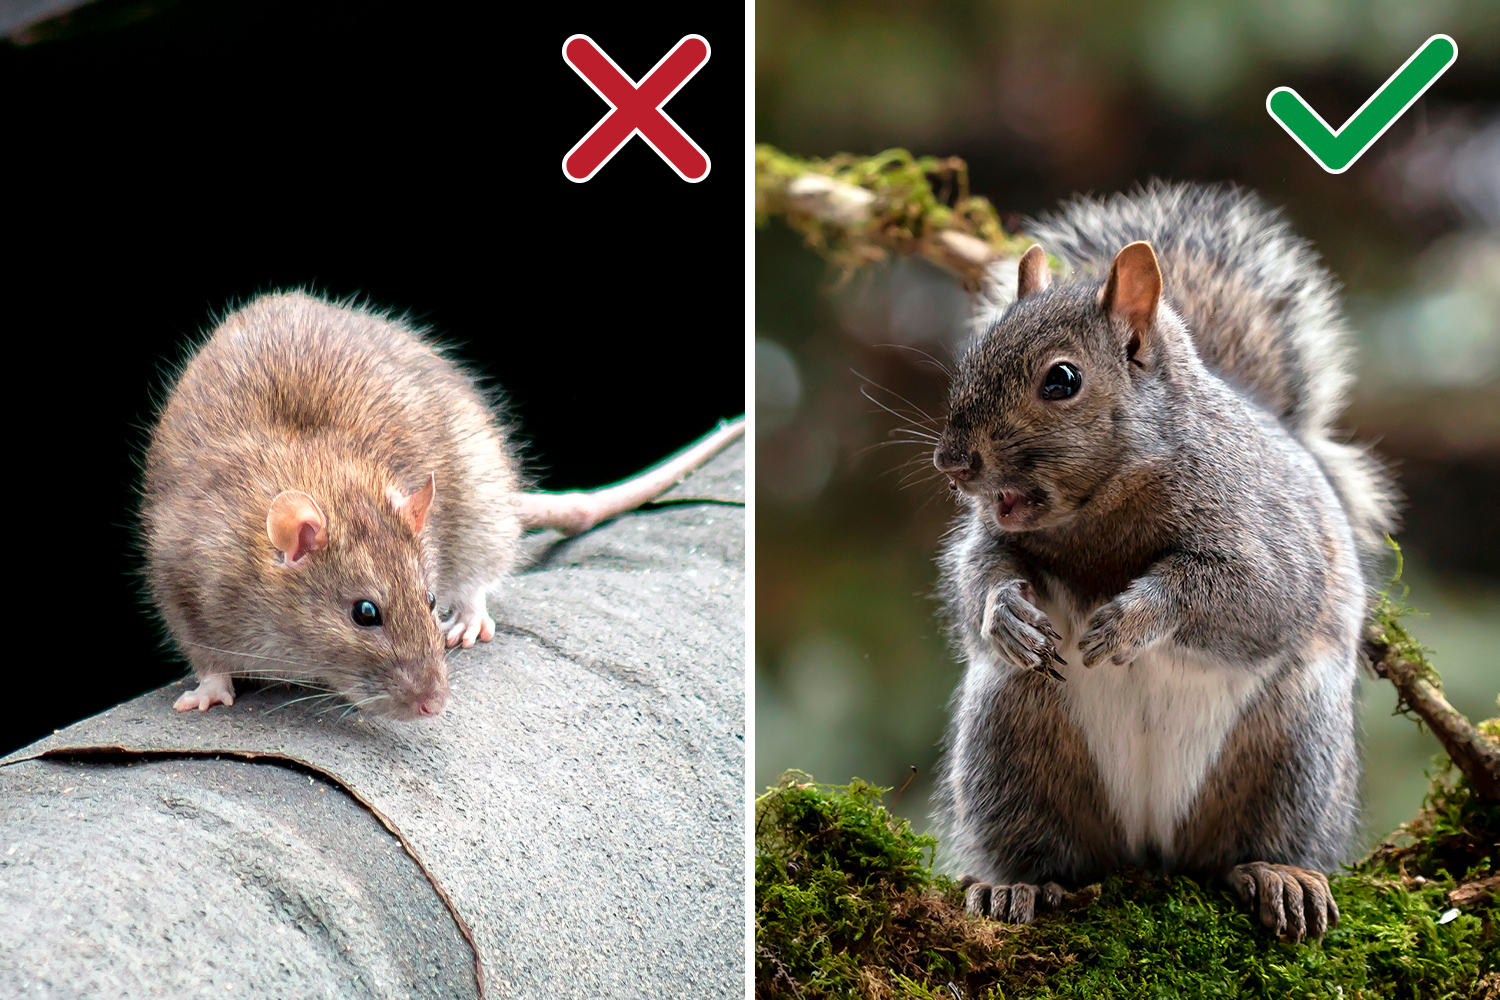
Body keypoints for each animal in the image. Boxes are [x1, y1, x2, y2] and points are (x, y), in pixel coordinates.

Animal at [928, 181, 1397, 943]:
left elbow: (1249, 595)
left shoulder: (1267, 541)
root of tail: (1150, 840)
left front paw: (1132, 619)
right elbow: (978, 578)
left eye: (1062, 380)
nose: (953, 463)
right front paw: (1007, 616)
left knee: (1258, 841)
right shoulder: (995, 538)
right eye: (971, 358)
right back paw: (1016, 884)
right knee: (1047, 846)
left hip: (1294, 749)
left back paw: (1280, 874)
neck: (1102, 515)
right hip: (1011, 738)